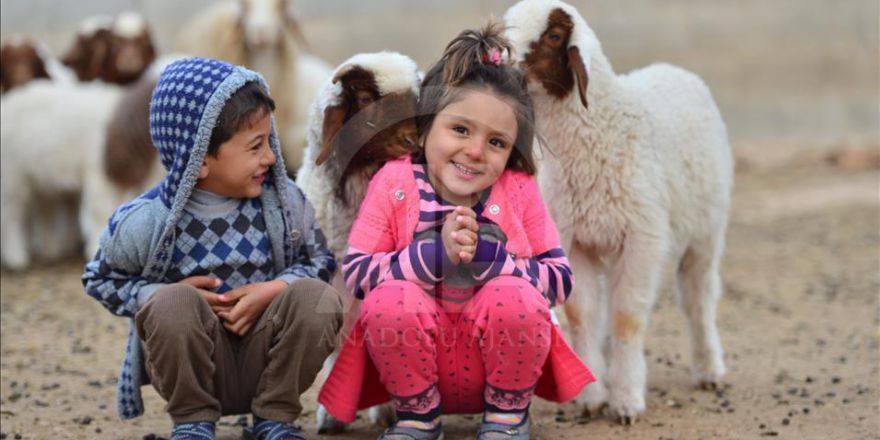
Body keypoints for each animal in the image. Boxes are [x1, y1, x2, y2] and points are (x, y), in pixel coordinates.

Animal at [502, 0, 736, 426]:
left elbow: (627, 317)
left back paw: (709, 369)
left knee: (699, 297)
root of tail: (672, 68)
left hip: (706, 231)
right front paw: (593, 394)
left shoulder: (642, 237)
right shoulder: (574, 238)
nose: (498, 59)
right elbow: (582, 313)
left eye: (554, 35)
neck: (602, 131)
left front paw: (626, 401)